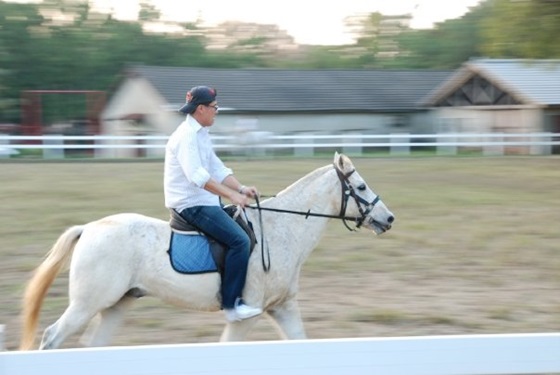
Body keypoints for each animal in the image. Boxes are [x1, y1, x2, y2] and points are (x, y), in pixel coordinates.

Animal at [20, 151, 394, 352]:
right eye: (361, 187)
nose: (388, 218)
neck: (281, 228)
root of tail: (89, 228)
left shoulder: (283, 307)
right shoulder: (247, 314)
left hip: (115, 304)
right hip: (87, 304)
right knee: (52, 338)